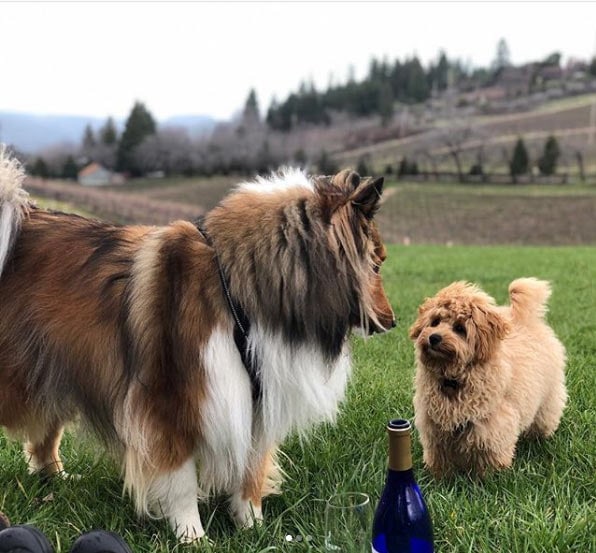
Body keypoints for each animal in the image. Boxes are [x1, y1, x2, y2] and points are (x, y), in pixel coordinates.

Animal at [0, 147, 396, 540]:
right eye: (376, 264)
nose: (392, 321)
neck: (235, 289)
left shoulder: (256, 401)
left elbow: (250, 472)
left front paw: (254, 529)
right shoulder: (169, 402)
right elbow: (181, 480)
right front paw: (193, 536)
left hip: (55, 369)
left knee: (44, 437)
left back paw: (60, 478)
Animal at [410, 278, 568, 476]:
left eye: (460, 328)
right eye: (435, 321)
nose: (434, 337)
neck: (453, 379)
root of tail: (524, 318)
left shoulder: (492, 423)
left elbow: (489, 453)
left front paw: (491, 477)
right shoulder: (434, 424)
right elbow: (439, 454)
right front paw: (439, 476)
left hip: (548, 397)